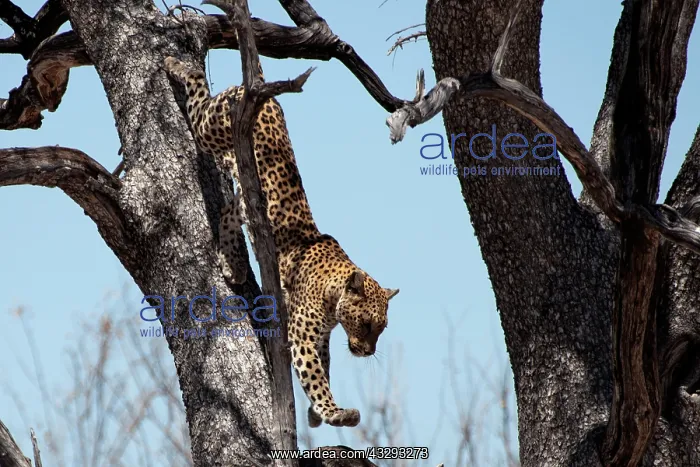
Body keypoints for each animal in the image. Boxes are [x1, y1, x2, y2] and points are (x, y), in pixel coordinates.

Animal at [164, 56, 399, 428]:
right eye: (367, 324)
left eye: (382, 328)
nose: (368, 351)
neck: (332, 296)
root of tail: (260, 92)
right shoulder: (303, 334)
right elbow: (316, 376)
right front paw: (333, 412)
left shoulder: (320, 338)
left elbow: (324, 369)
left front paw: (315, 414)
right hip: (209, 128)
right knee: (198, 91)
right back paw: (175, 64)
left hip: (243, 191)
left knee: (230, 210)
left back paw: (234, 266)